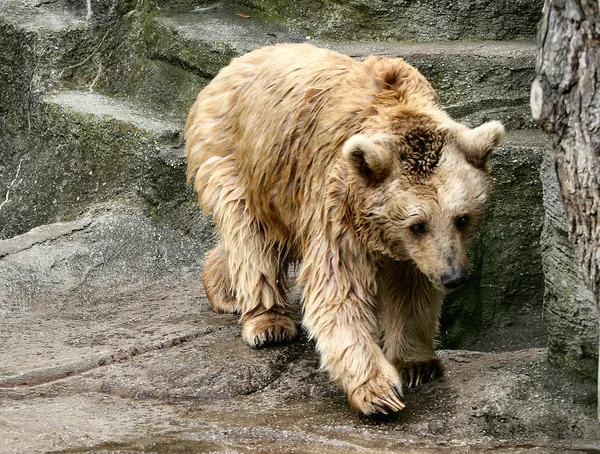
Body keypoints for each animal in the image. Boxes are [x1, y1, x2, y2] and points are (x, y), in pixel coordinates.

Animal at [185, 42, 504, 414]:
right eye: (417, 225)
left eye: (462, 218)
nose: (454, 276)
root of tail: (234, 65)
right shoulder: (340, 205)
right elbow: (338, 287)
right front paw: (379, 391)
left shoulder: (411, 251)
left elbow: (410, 290)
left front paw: (417, 365)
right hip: (240, 161)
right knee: (252, 238)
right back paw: (267, 322)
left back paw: (221, 289)